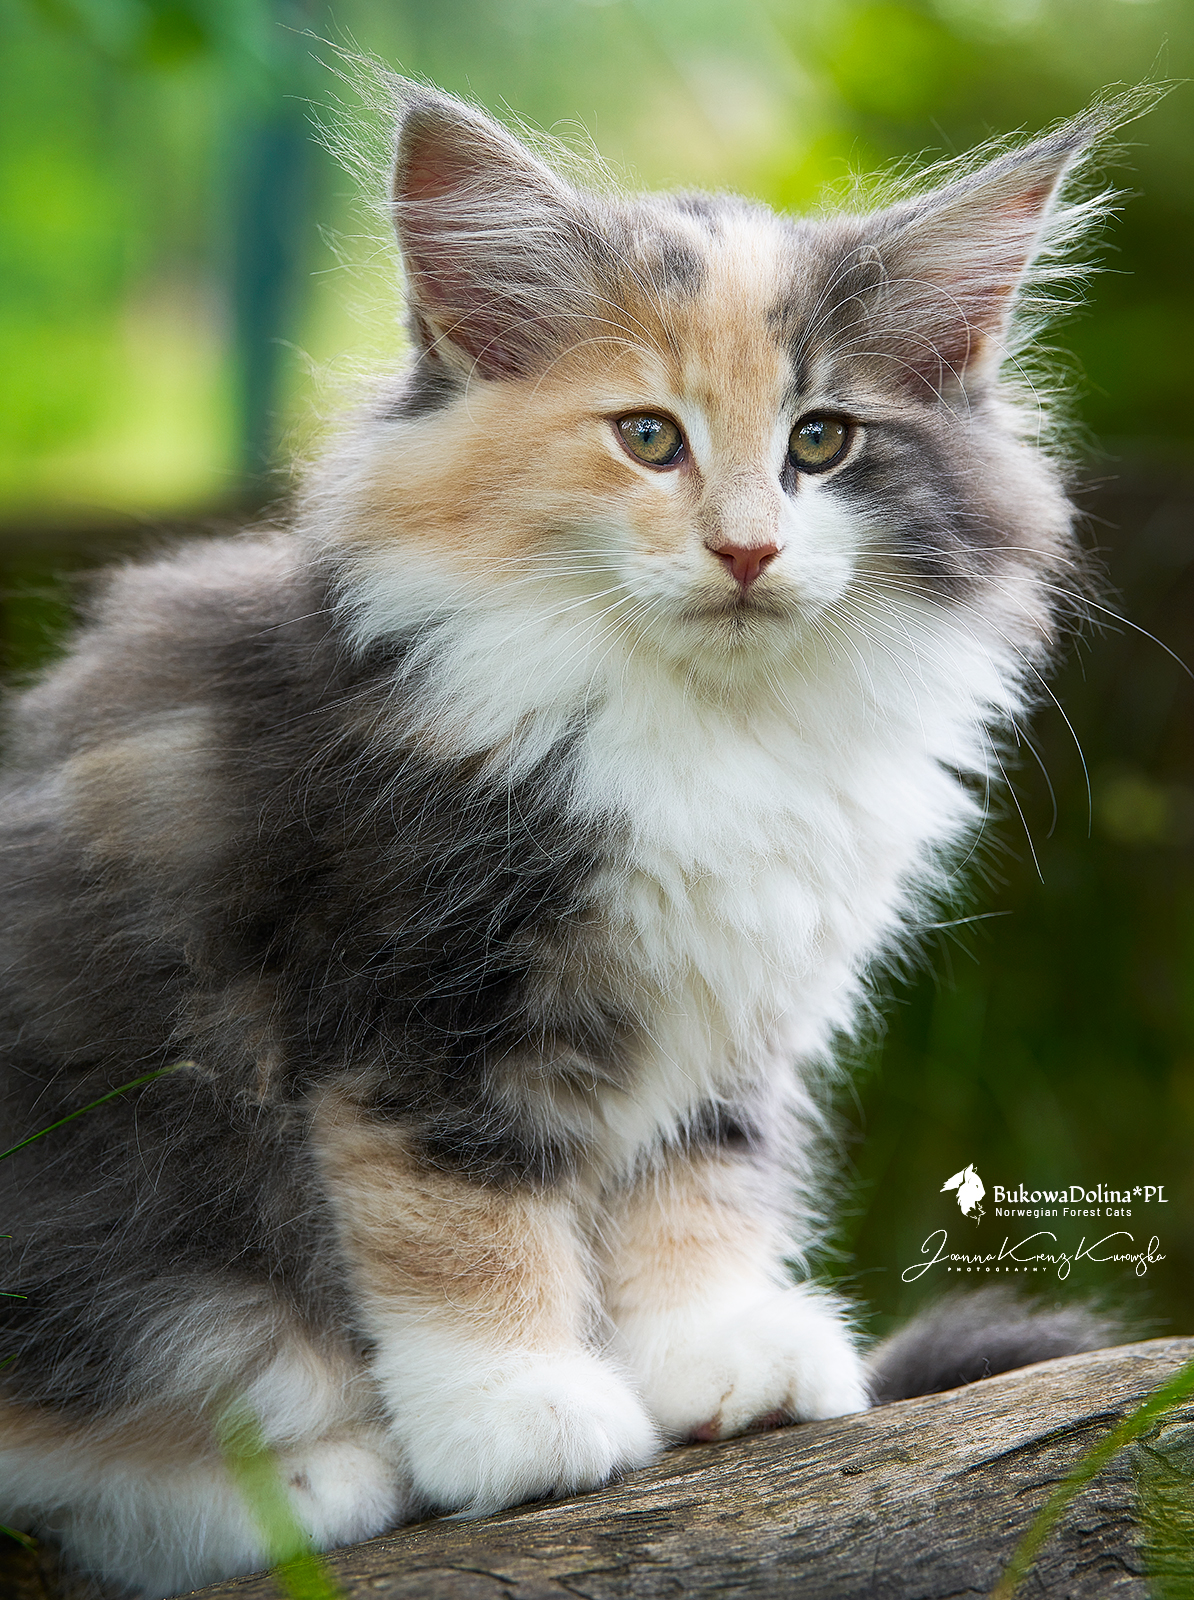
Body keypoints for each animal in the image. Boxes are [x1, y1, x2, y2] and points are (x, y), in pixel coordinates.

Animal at [0, 80, 1123, 1598]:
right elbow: (456, 1217)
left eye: (820, 441)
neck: (701, 727)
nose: (747, 551)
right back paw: (289, 1483)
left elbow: (696, 1179)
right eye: (649, 437)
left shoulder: (735, 1008)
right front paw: (517, 1412)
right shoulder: (413, 997)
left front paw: (715, 1354)